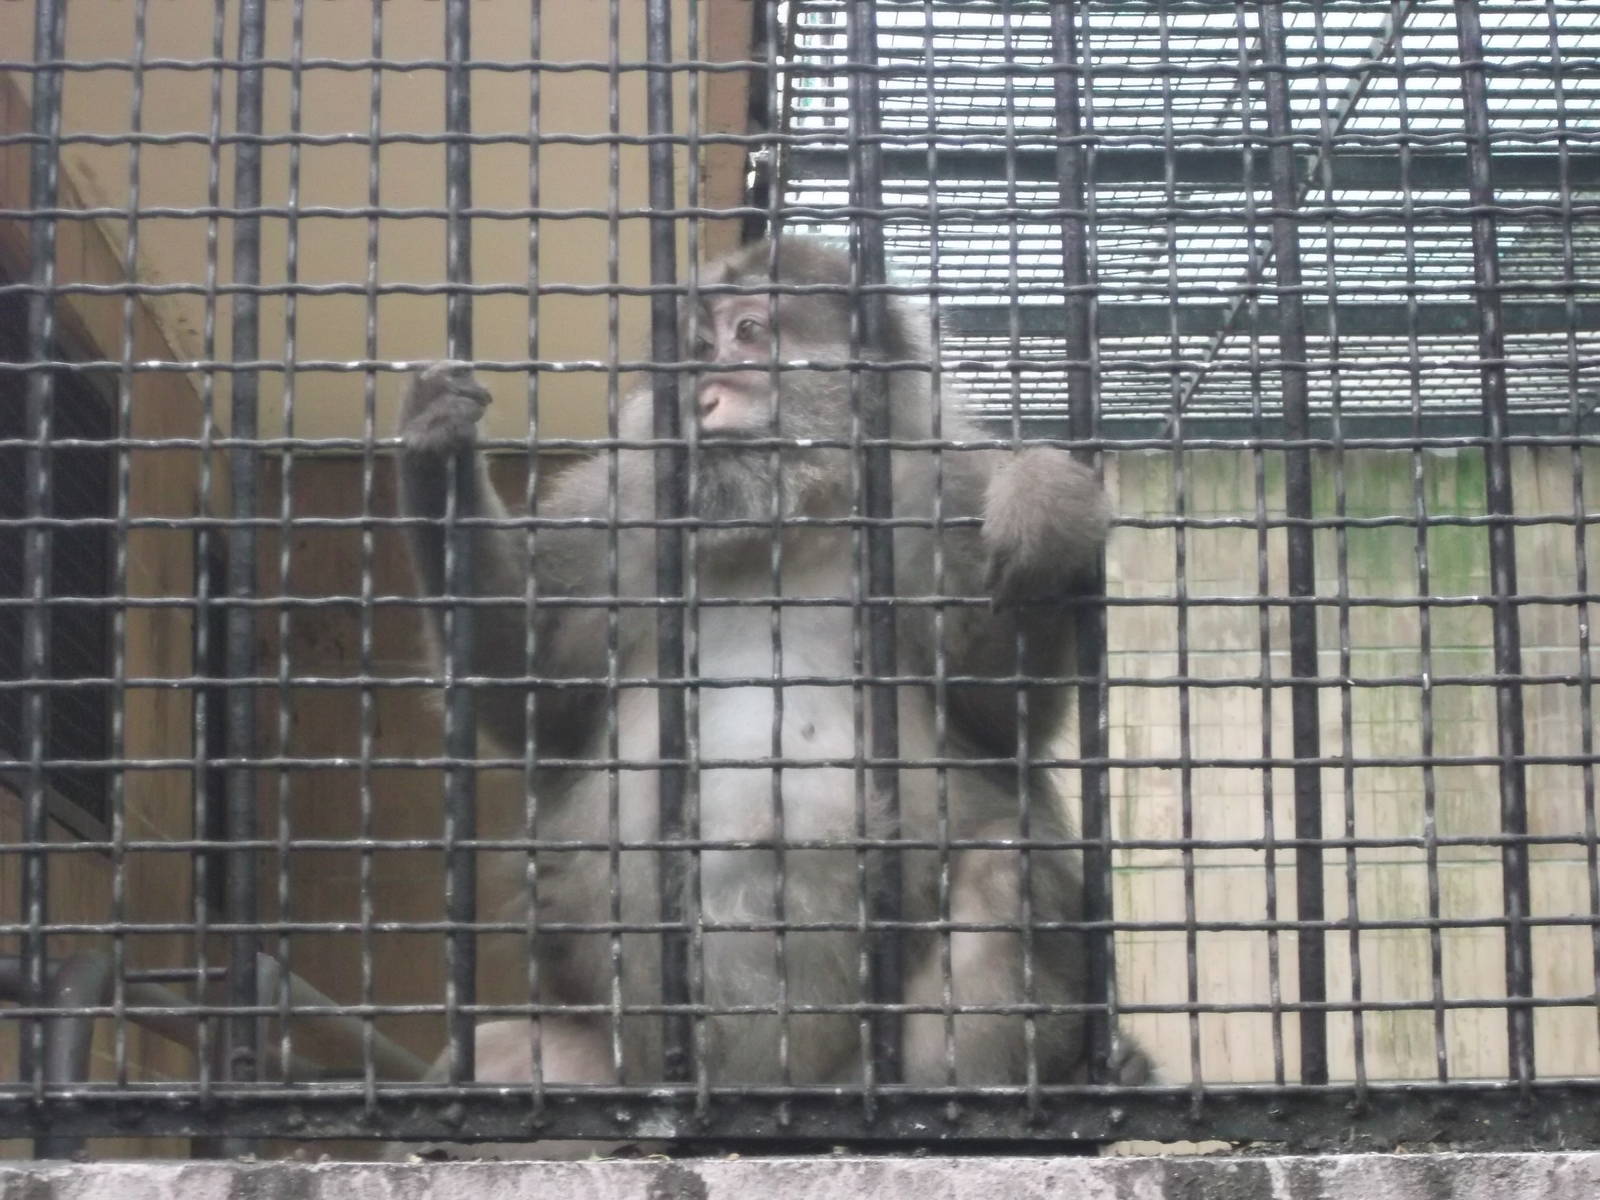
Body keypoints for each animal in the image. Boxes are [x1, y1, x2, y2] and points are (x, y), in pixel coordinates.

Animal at [394, 237, 1149, 1136]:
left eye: (749, 333)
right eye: (695, 348)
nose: (704, 392)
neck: (787, 527)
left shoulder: (942, 502)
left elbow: (999, 713)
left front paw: (1048, 510)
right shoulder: (619, 507)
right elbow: (537, 689)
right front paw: (440, 461)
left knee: (1009, 869)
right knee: (498, 1060)